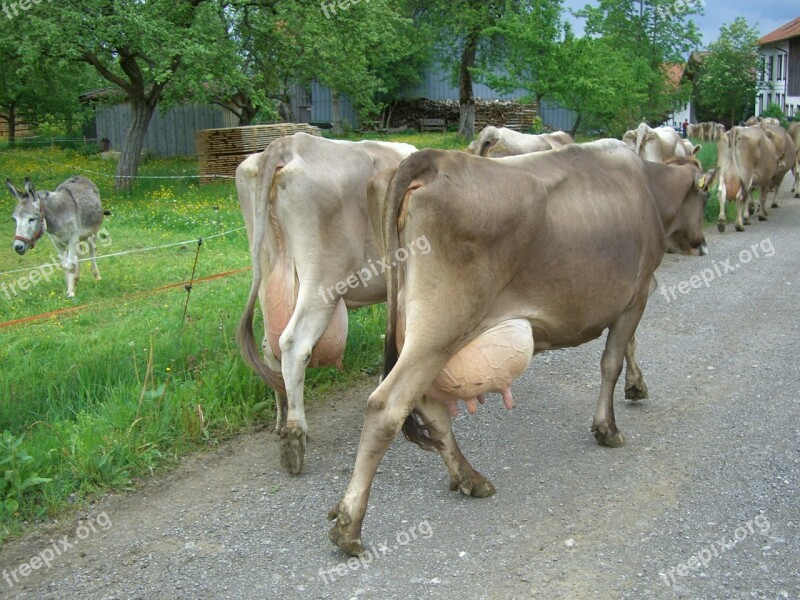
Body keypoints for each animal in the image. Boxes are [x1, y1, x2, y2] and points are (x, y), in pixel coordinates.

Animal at [234, 132, 416, 474]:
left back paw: (282, 419)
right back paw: (294, 437)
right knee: (293, 344)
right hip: (322, 280)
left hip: (267, 268)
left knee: (270, 346)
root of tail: (288, 144)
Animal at [326, 139, 712, 552]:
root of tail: (433, 158)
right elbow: (612, 360)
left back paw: (470, 477)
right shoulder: (635, 294)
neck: (648, 185)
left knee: (428, 406)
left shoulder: (625, 300)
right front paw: (607, 428)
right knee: (387, 406)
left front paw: (636, 387)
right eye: (704, 198)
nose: (703, 245)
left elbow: (628, 347)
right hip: (440, 325)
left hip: (418, 327)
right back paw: (349, 526)